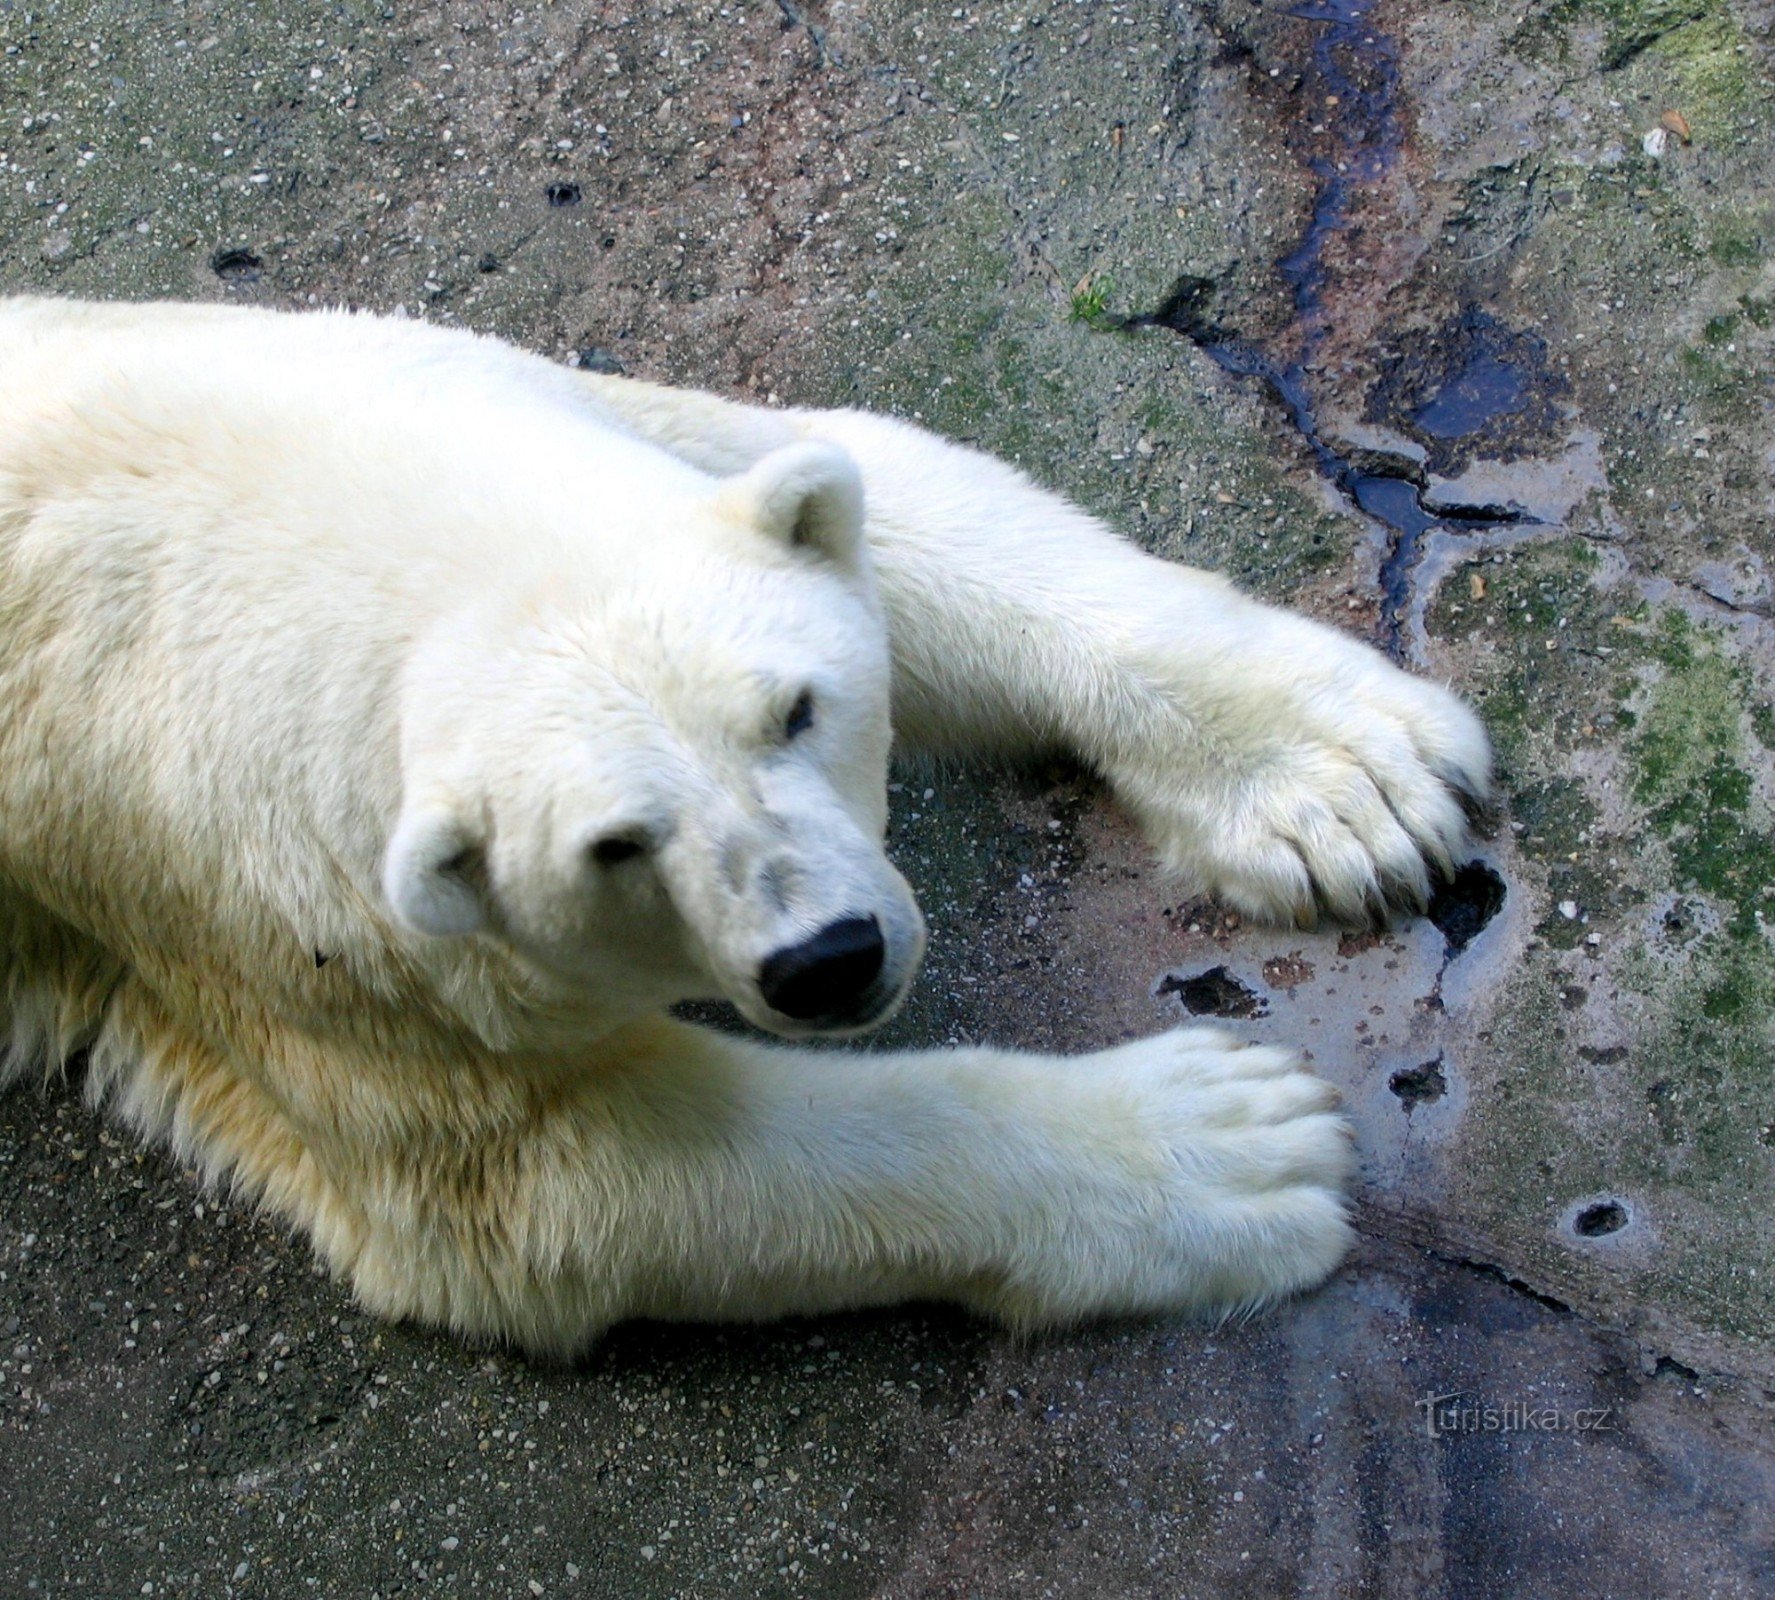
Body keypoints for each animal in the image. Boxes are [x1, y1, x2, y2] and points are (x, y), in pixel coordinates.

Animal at [0, 296, 1483, 1349]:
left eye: (793, 709)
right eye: (612, 846)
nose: (825, 961)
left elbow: (878, 493)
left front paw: (1352, 786)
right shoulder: (287, 922)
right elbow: (555, 1183)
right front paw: (1234, 1141)